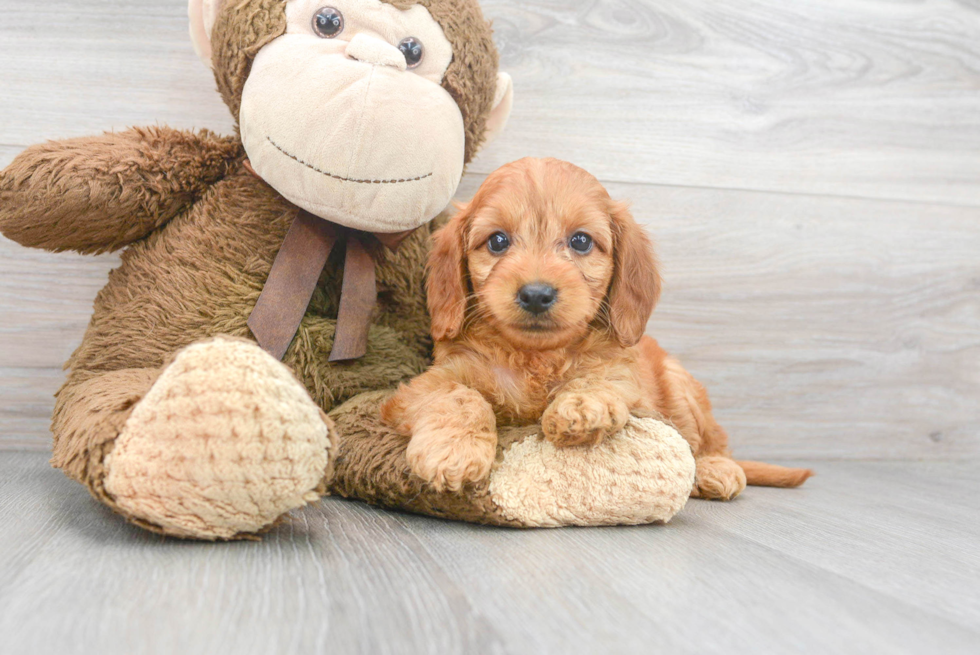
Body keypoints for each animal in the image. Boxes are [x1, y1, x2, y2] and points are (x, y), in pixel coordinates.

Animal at [382, 158, 812, 498]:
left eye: (581, 241)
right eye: (498, 241)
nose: (536, 294)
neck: (537, 357)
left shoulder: (631, 387)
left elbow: (602, 379)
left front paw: (582, 406)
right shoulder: (426, 384)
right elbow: (459, 396)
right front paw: (452, 451)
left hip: (681, 387)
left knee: (707, 442)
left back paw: (714, 470)